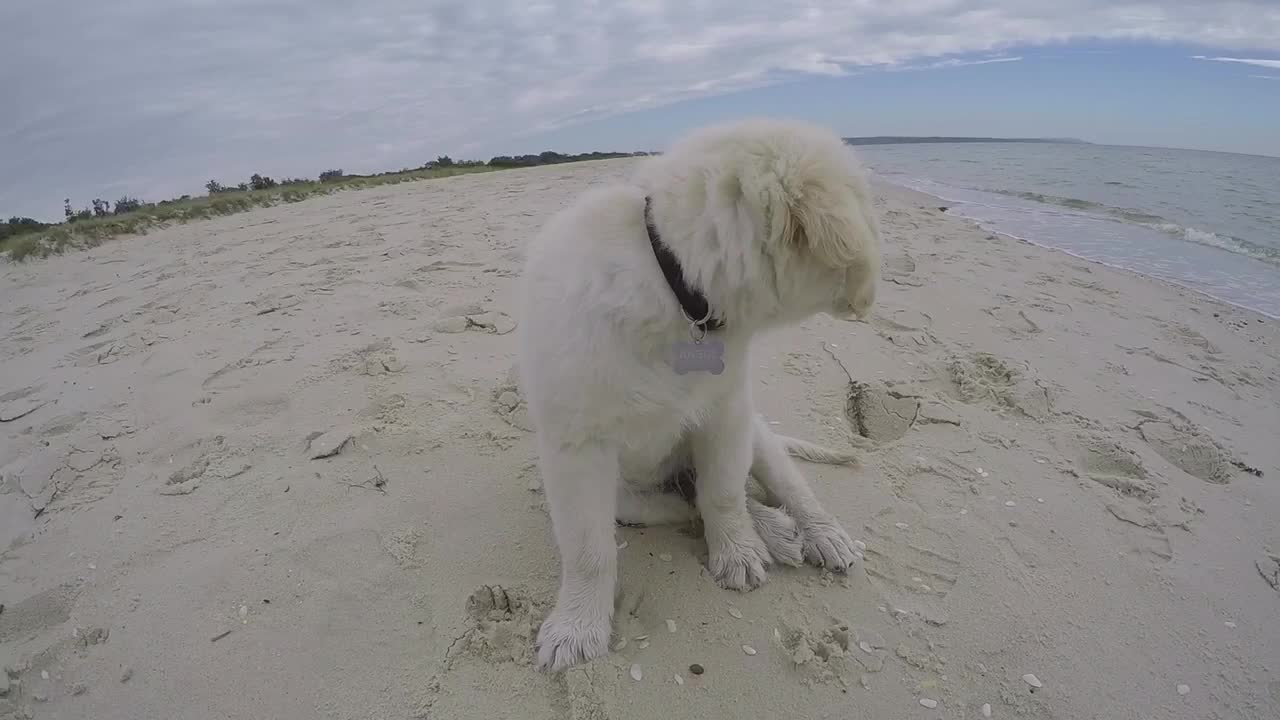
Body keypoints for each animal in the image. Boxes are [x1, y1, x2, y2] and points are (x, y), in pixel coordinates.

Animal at [509, 114, 880, 671]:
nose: (876, 293)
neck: (676, 288)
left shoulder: (727, 414)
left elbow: (724, 494)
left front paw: (738, 555)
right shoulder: (576, 448)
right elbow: (589, 550)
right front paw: (577, 629)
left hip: (758, 435)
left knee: (779, 489)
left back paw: (815, 534)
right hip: (629, 496)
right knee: (688, 501)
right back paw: (775, 531)